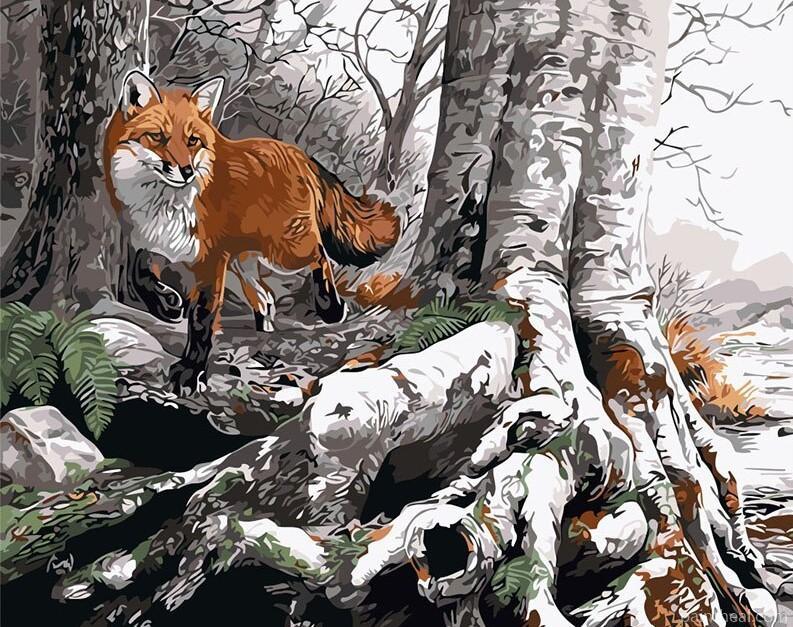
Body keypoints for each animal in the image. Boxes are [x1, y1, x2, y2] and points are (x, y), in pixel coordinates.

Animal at [104, 71, 400, 393]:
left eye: (193, 141)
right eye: (158, 137)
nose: (186, 171)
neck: (165, 207)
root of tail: (298, 154)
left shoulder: (210, 261)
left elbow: (201, 318)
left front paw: (191, 371)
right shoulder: (149, 241)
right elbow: (138, 275)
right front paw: (166, 305)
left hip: (283, 252)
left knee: (319, 255)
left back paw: (330, 307)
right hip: (242, 264)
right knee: (266, 299)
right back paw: (264, 337)